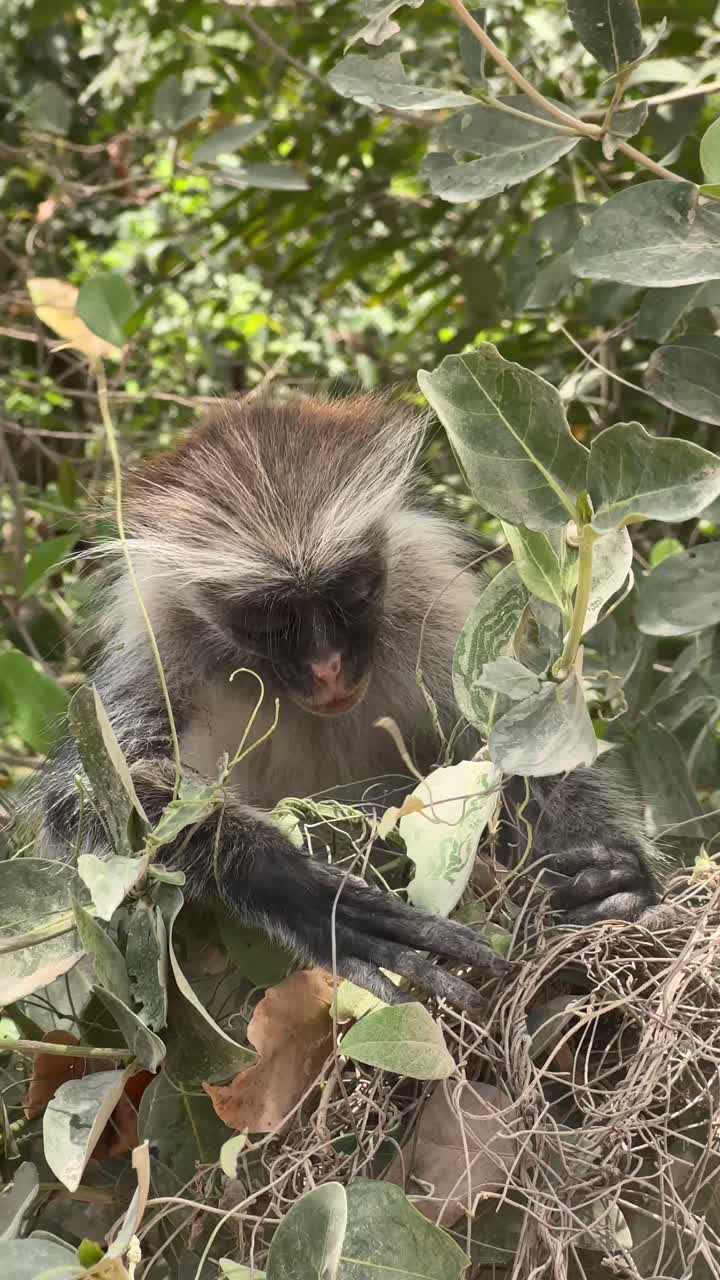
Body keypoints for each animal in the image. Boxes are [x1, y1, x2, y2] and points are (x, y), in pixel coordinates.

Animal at [30, 394, 660, 1007]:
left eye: (353, 594)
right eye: (267, 623)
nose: (326, 666)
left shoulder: (430, 606)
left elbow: (520, 751)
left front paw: (615, 881)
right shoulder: (159, 643)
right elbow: (82, 798)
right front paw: (297, 892)